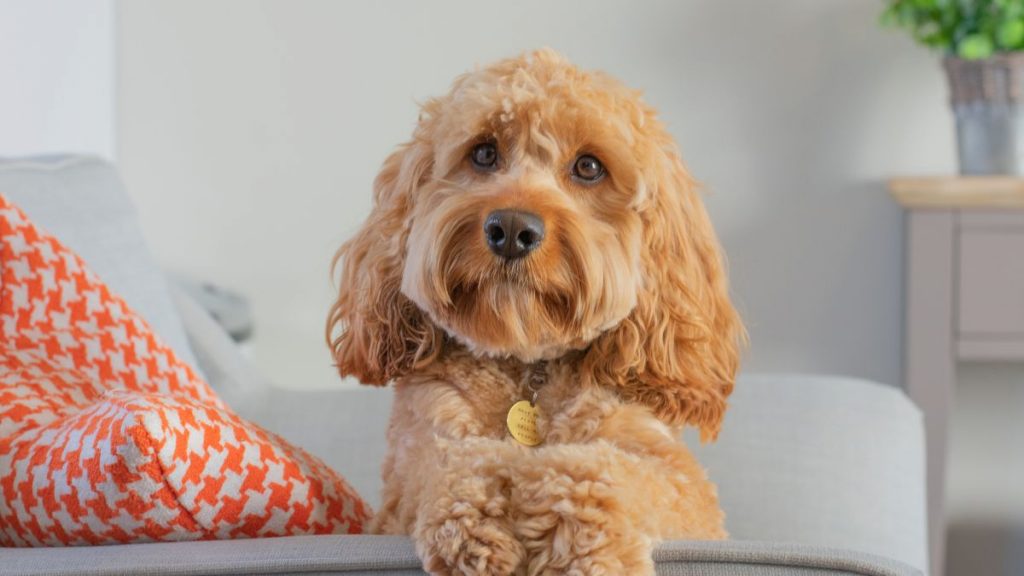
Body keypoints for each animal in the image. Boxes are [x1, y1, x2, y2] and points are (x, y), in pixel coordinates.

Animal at [327, 50, 745, 573]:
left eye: (589, 166)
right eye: (484, 153)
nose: (510, 228)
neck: (529, 368)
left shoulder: (682, 485)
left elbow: (606, 470)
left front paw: (584, 546)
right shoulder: (411, 466)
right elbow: (447, 460)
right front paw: (477, 526)